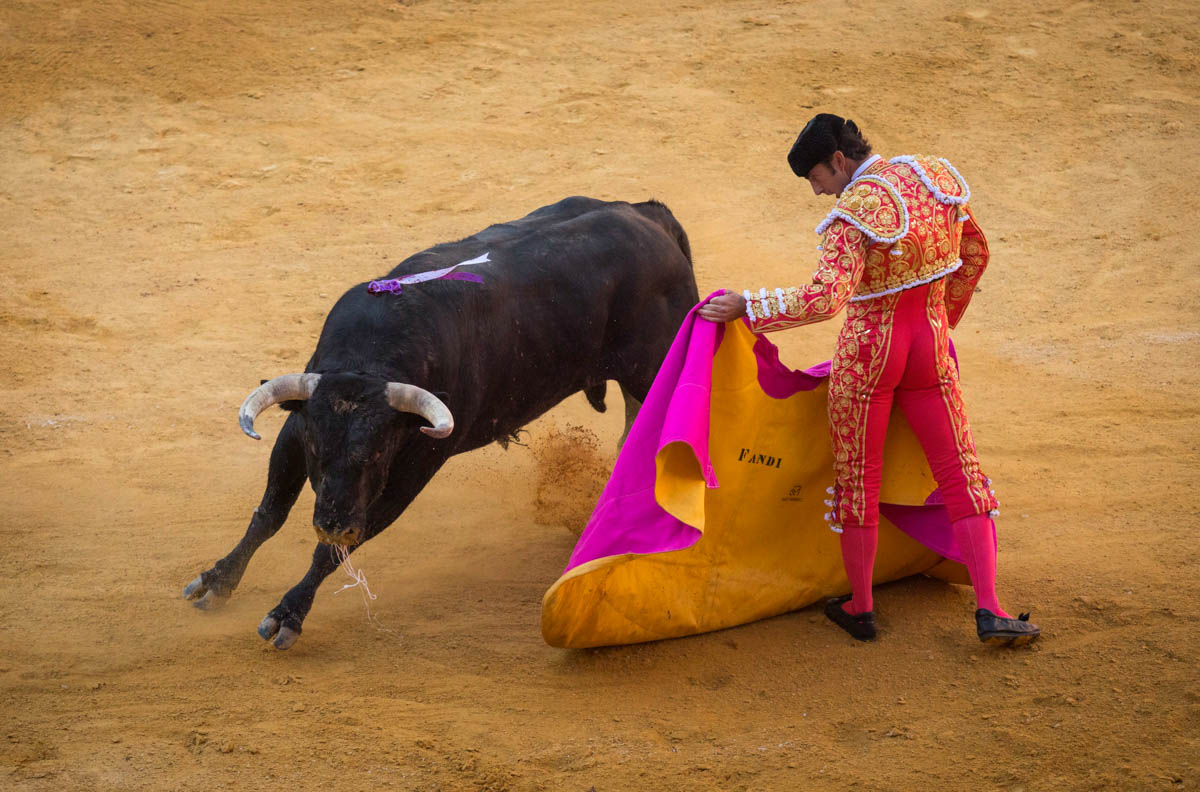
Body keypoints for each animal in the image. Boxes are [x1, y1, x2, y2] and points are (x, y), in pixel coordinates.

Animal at [182, 194, 700, 648]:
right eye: (316, 451)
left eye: (377, 453)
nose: (333, 524)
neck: (371, 358)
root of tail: (649, 215)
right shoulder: (297, 426)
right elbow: (269, 513)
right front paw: (216, 581)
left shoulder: (412, 470)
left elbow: (333, 550)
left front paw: (287, 614)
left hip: (654, 364)